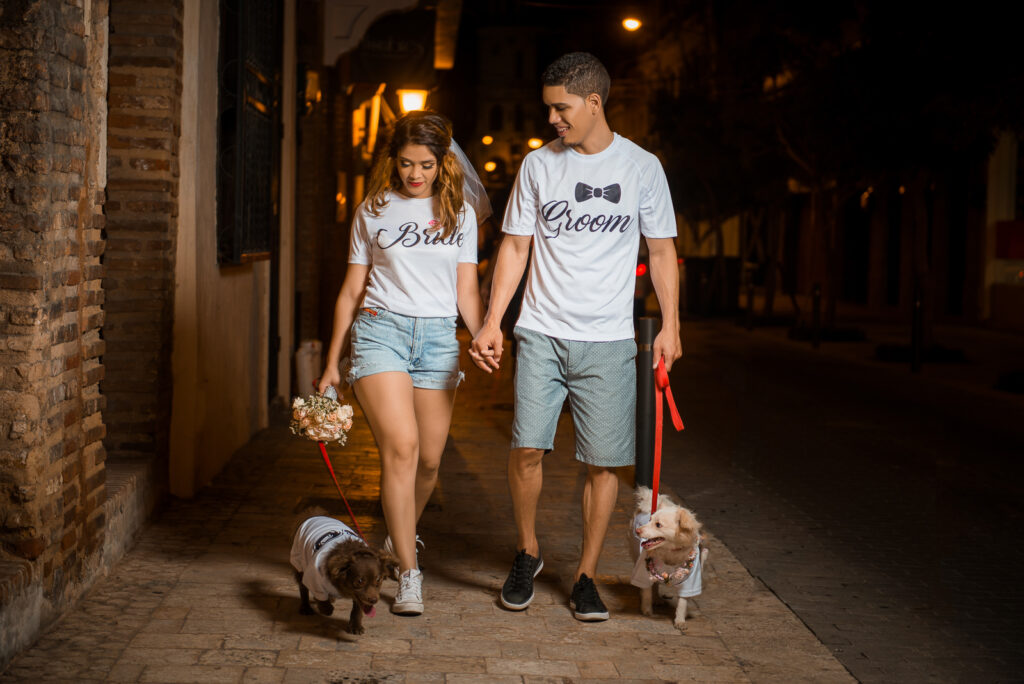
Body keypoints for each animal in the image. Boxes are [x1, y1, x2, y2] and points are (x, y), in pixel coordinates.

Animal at [626, 485, 708, 630]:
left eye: (658, 525)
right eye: (650, 520)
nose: (638, 531)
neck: (671, 551)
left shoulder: (690, 581)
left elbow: (682, 603)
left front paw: (680, 620)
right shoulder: (643, 571)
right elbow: (646, 591)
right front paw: (647, 610)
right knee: (653, 584)